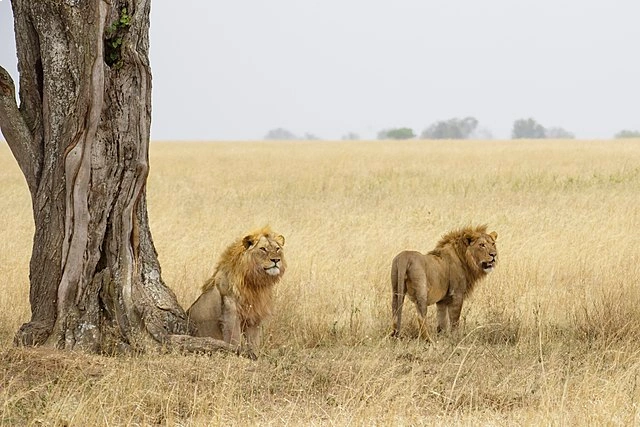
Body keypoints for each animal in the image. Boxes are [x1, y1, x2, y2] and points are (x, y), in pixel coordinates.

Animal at [186, 226, 286, 358]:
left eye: (277, 248)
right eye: (263, 249)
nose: (276, 260)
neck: (256, 283)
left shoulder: (254, 317)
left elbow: (254, 342)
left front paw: (255, 356)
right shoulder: (231, 314)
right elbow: (234, 339)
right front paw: (236, 354)